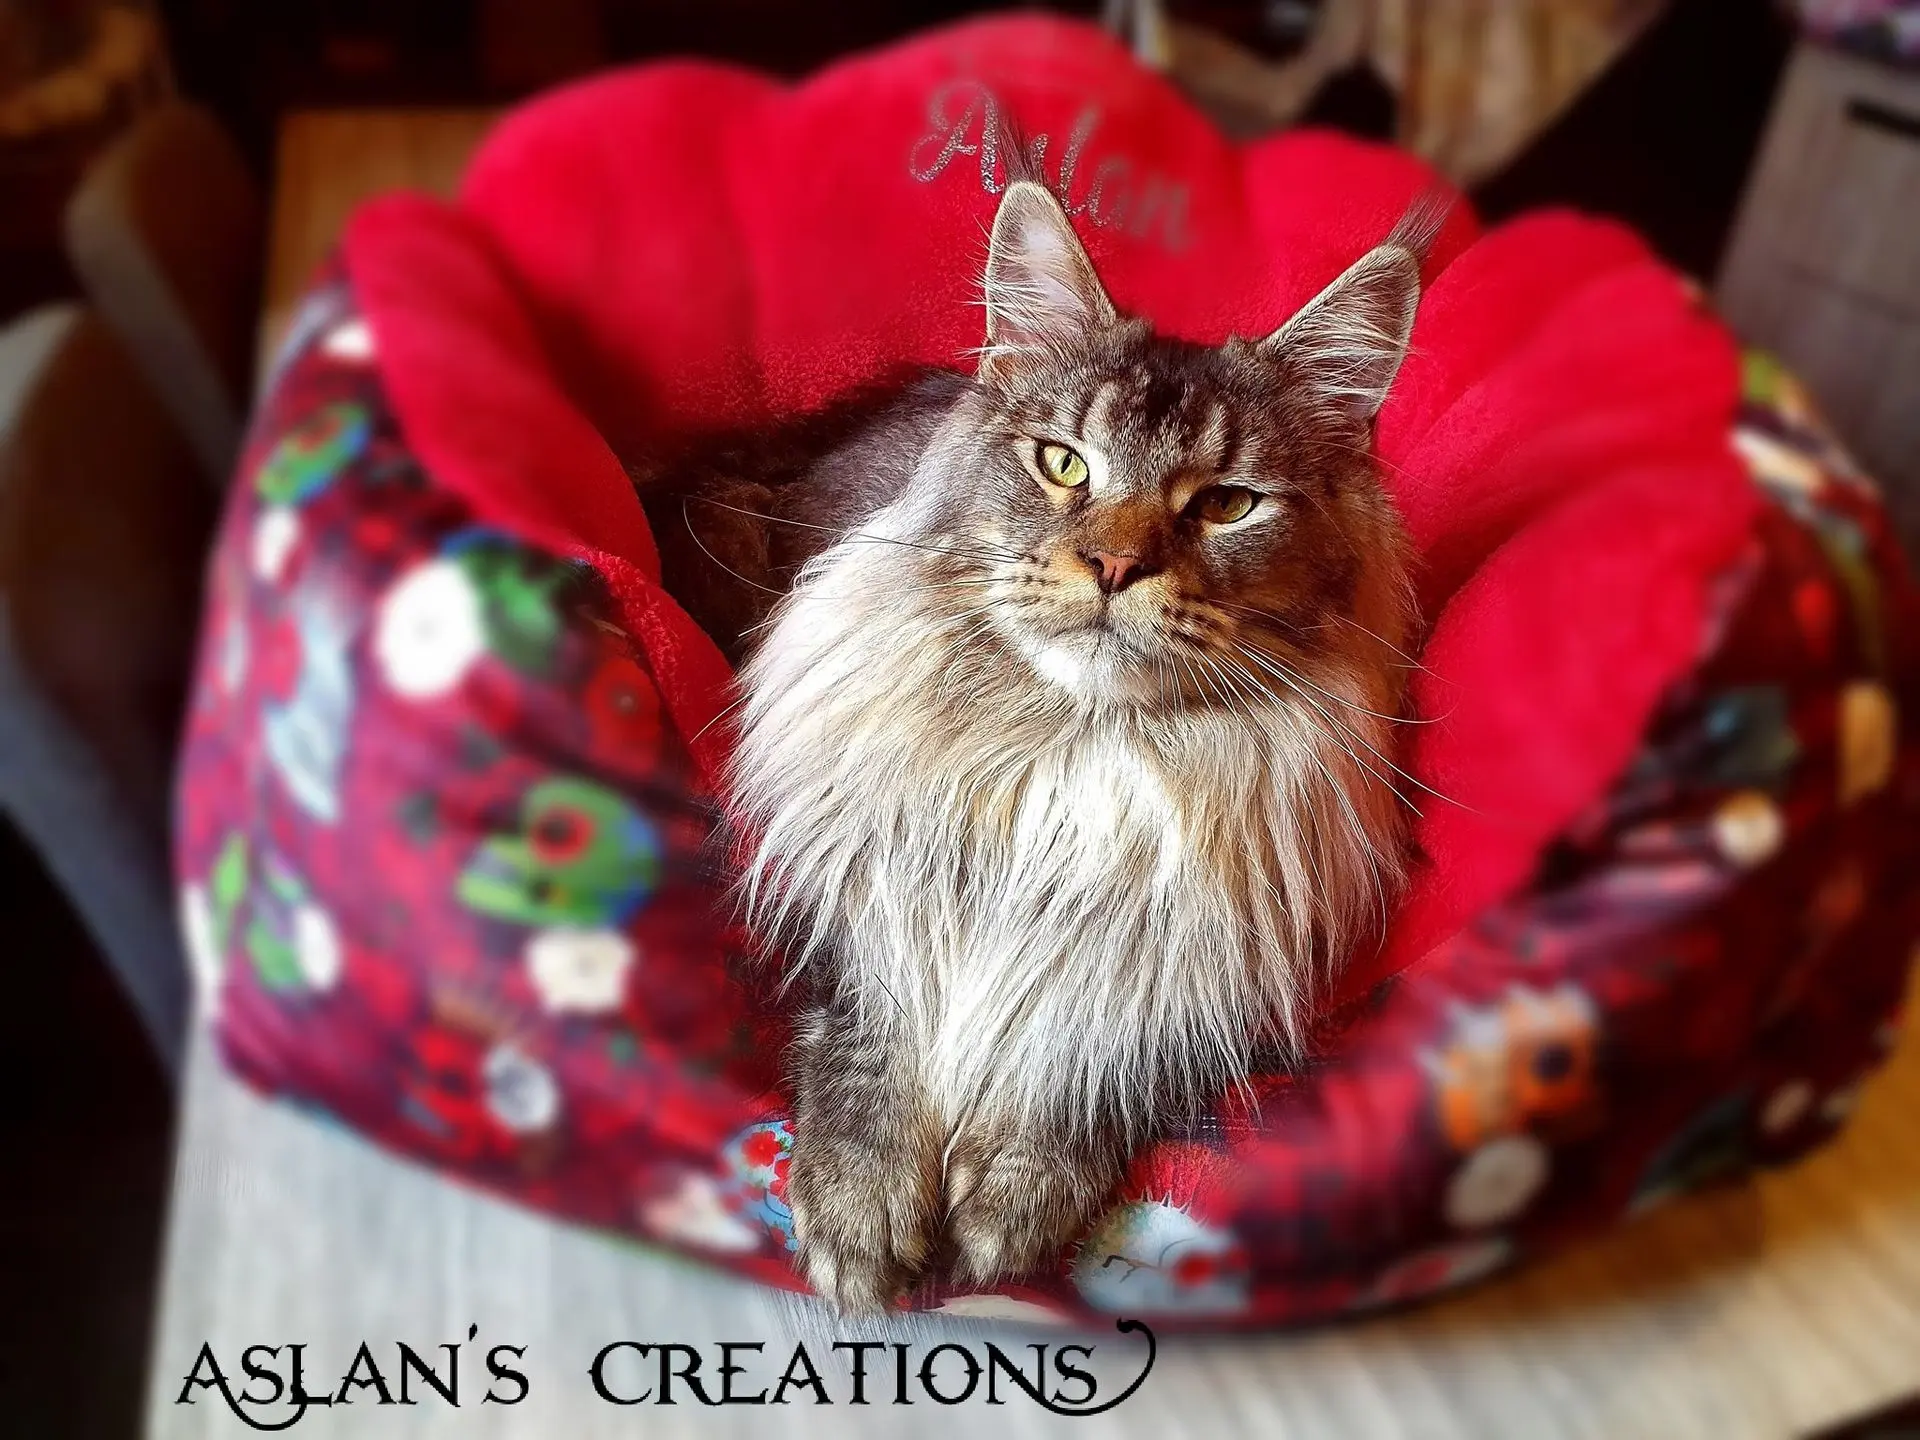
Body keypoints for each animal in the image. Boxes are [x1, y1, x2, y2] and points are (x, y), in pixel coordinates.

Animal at [639, 179, 1427, 1313]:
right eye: (1063, 465)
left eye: (1228, 503)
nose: (1113, 566)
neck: (1072, 749)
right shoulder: (868, 900)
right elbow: (872, 1045)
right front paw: (859, 1216)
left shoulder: (1189, 968)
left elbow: (1088, 1075)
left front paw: (1010, 1211)